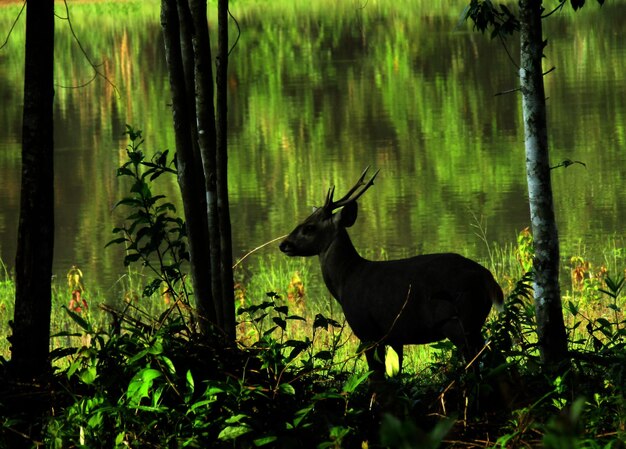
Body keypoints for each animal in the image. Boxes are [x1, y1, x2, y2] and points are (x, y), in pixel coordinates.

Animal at [278, 166, 502, 376]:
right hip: (474, 320)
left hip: (459, 321)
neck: (347, 278)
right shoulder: (395, 336)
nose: (284, 244)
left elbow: (376, 377)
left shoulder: (366, 330)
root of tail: (487, 276)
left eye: (309, 227)